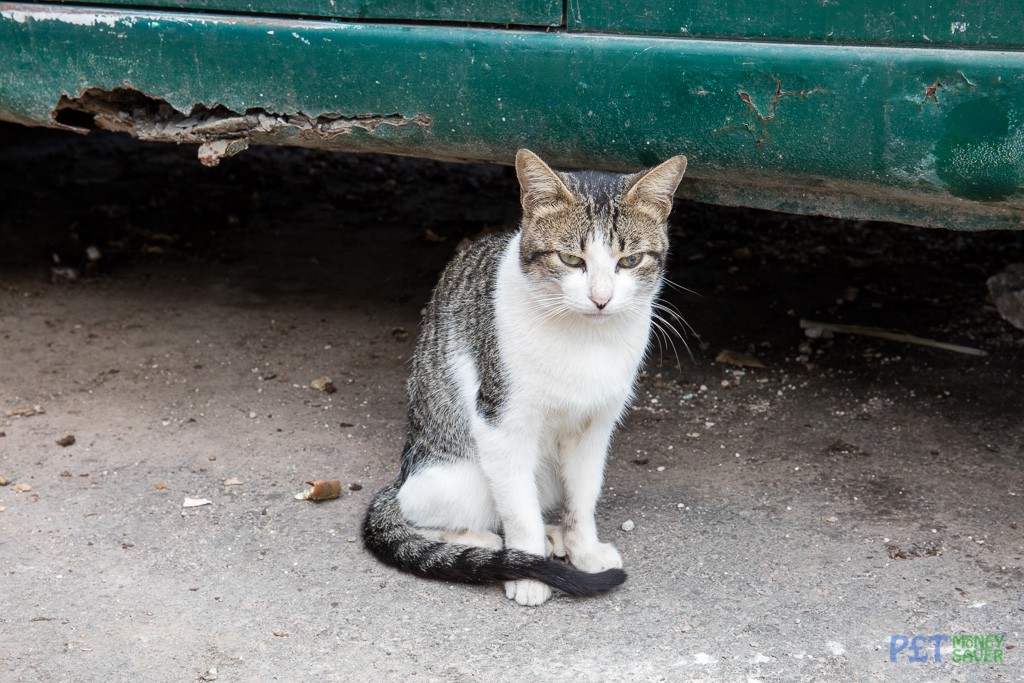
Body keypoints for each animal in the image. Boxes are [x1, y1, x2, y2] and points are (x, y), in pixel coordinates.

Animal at [362, 148, 688, 602]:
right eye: (570, 259)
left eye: (630, 261)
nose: (601, 299)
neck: (585, 339)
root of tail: (402, 472)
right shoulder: (501, 424)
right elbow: (518, 509)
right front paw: (529, 570)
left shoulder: (596, 426)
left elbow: (583, 494)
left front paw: (583, 547)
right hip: (458, 476)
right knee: (423, 512)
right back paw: (486, 543)